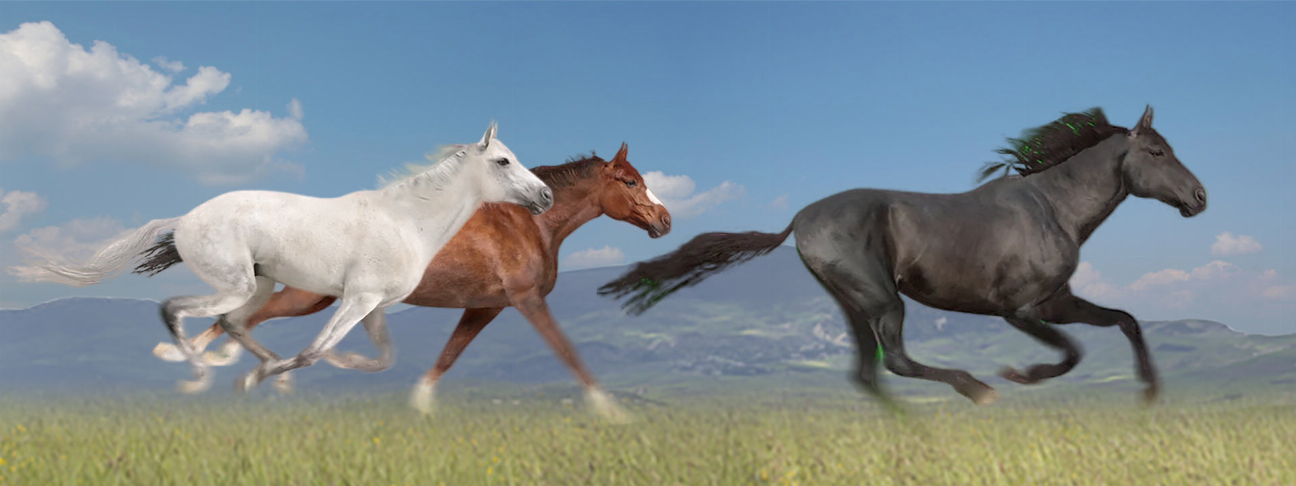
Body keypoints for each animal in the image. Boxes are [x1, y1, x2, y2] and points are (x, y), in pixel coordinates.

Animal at [23, 122, 555, 395]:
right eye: (503, 161)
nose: (546, 196)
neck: (406, 221)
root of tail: (186, 218)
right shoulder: (358, 299)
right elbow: (313, 352)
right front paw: (267, 377)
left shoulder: (374, 305)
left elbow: (382, 359)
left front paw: (306, 368)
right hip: (235, 285)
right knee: (175, 309)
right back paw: (200, 372)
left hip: (258, 286)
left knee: (233, 324)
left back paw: (247, 367)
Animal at [139, 143, 670, 421]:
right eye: (629, 182)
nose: (664, 221)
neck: (528, 225)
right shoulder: (526, 300)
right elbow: (568, 352)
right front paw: (613, 412)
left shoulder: (487, 306)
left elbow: (448, 356)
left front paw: (419, 403)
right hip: (309, 297)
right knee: (239, 316)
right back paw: (199, 362)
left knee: (242, 317)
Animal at [599, 106, 1206, 408]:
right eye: (1157, 152)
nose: (1200, 198)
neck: (1052, 206)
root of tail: (799, 219)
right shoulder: (1023, 310)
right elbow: (1074, 353)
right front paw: (1018, 375)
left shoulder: (1058, 302)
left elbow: (1126, 321)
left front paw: (1151, 393)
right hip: (883, 299)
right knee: (894, 362)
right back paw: (976, 390)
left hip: (853, 304)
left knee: (867, 374)